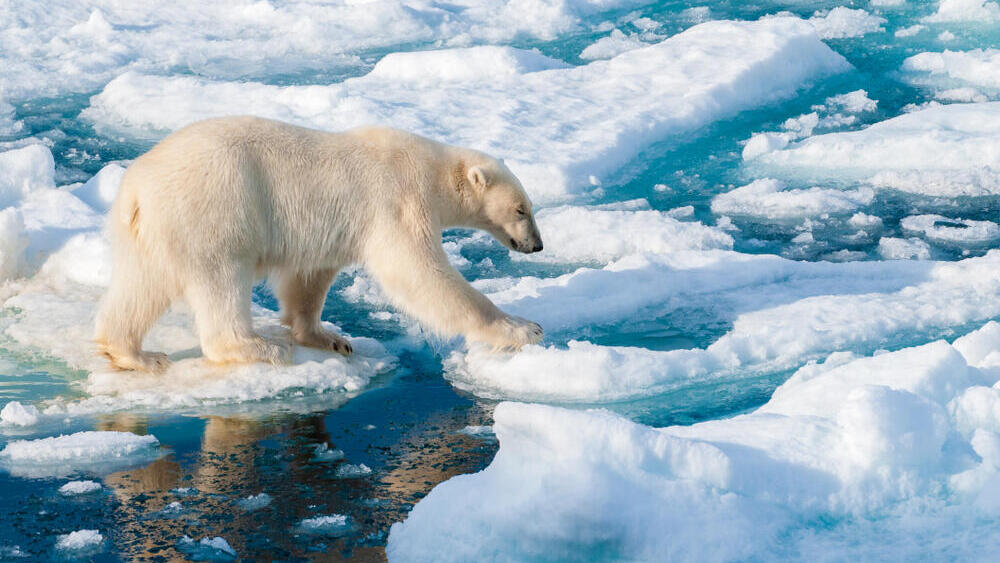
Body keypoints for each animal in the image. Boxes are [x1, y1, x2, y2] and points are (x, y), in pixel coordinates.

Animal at [94, 116, 544, 372]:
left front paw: (330, 338)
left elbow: (308, 279)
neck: (433, 171)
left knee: (142, 286)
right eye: (521, 209)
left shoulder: (333, 228)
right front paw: (524, 328)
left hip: (151, 230)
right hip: (214, 209)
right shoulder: (398, 200)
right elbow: (418, 272)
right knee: (221, 279)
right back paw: (258, 347)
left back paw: (135, 355)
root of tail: (136, 188)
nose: (537, 246)